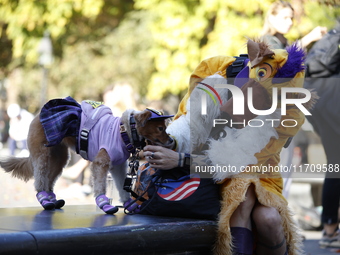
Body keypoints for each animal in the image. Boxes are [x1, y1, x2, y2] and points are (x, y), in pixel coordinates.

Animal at [0, 97, 174, 213]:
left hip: (59, 158)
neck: (124, 131)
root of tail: (37, 116)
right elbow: (100, 185)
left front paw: (127, 203)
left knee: (49, 179)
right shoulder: (100, 163)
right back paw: (44, 199)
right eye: (160, 128)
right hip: (42, 155)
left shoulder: (118, 166)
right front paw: (104, 204)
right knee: (40, 179)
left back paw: (52, 199)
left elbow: (122, 186)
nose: (171, 140)